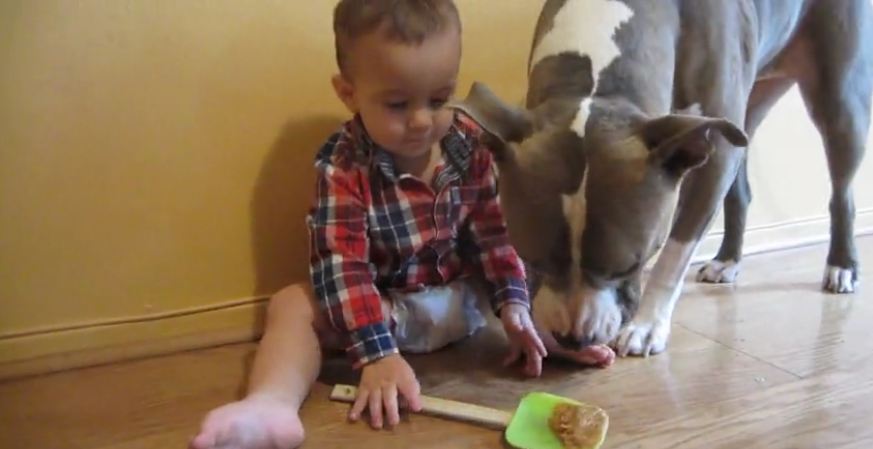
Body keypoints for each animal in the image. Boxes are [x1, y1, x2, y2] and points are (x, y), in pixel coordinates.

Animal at [454, 0, 868, 356]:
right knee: (742, 188)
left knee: (842, 193)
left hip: (839, 101)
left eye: (629, 266)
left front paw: (647, 326)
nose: (575, 338)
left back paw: (842, 266)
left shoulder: (711, 156)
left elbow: (675, 252)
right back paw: (728, 260)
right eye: (531, 259)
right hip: (748, 115)